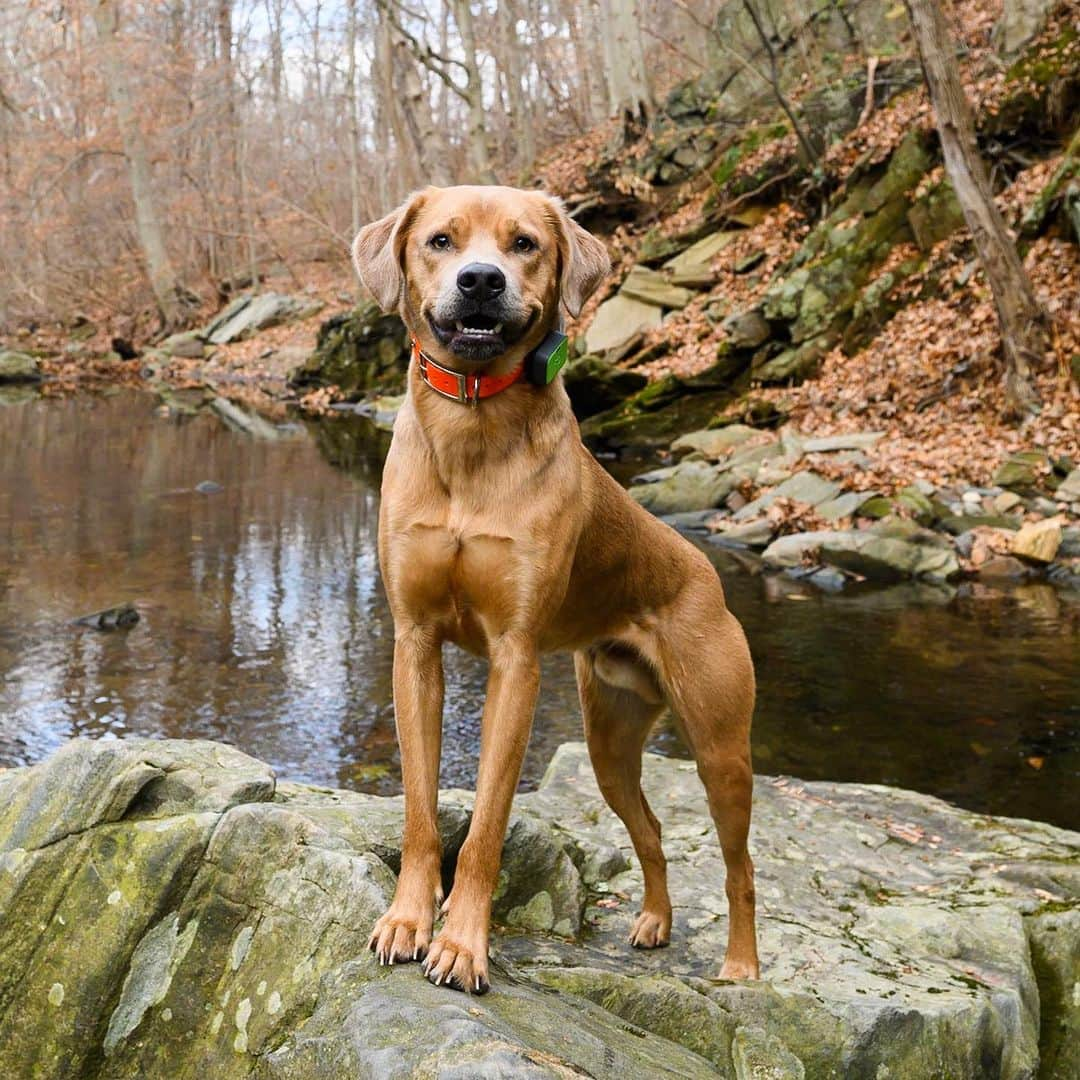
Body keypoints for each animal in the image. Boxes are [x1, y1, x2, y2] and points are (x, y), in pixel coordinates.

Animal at [354, 185, 760, 993]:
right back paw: (654, 920)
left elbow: (485, 826)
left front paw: (462, 945)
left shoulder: (516, 661)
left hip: (721, 747)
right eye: (441, 240)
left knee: (741, 867)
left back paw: (741, 965)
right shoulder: (415, 645)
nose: (482, 280)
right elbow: (420, 810)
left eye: (525, 244)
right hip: (608, 741)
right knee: (651, 829)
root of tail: (705, 571)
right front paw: (409, 921)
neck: (472, 422)